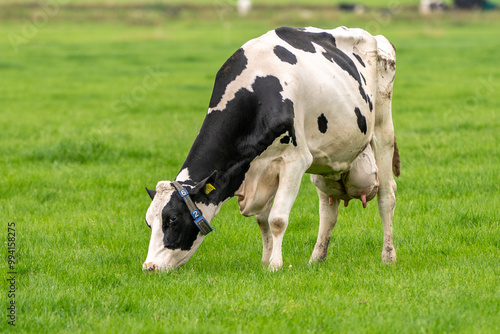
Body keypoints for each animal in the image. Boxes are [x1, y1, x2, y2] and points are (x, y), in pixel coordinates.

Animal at [143, 25, 400, 272]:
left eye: (173, 219)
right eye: (148, 222)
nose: (149, 267)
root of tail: (375, 36)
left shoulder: (294, 161)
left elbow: (277, 219)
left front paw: (275, 265)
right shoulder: (261, 167)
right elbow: (263, 220)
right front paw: (266, 261)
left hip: (383, 129)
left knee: (386, 197)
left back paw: (388, 257)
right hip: (327, 160)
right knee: (328, 211)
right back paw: (316, 259)